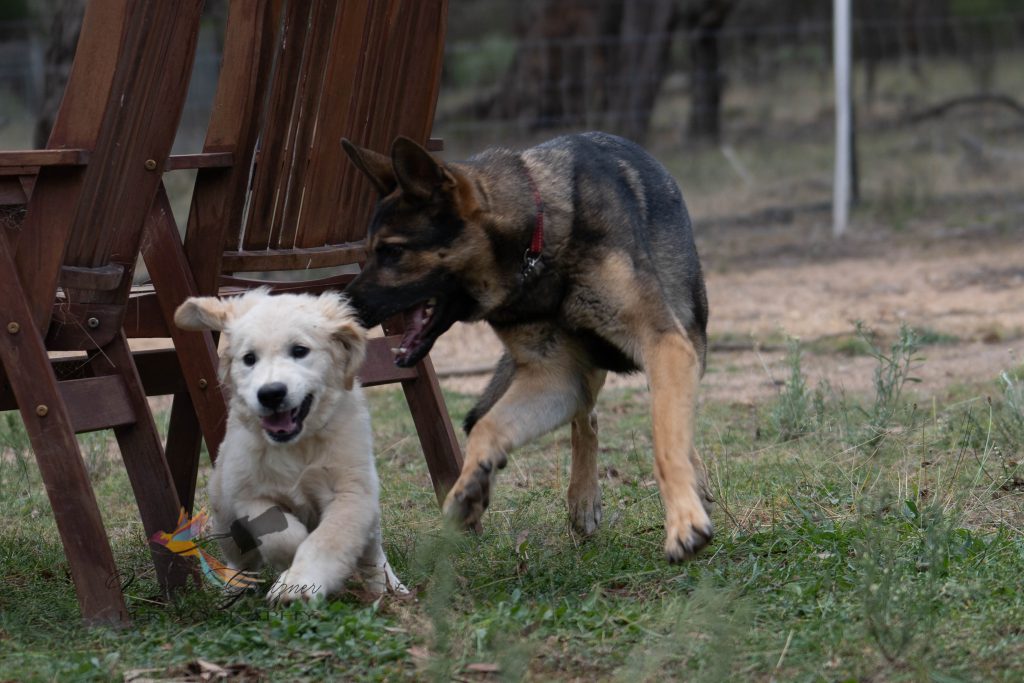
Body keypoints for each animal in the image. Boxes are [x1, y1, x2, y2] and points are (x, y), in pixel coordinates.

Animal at [176, 288, 403, 602]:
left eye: (299, 351)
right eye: (249, 358)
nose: (271, 394)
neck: (298, 447)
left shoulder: (352, 494)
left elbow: (327, 539)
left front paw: (300, 580)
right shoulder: (250, 496)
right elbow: (283, 537)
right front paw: (289, 572)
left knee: (372, 555)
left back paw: (389, 587)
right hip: (225, 513)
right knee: (239, 559)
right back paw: (234, 590)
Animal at [344, 132, 712, 561]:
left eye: (392, 251)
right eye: (370, 251)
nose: (343, 304)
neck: (537, 248)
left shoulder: (664, 344)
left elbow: (667, 441)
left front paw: (683, 521)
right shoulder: (554, 378)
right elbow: (487, 426)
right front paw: (470, 486)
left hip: (686, 335)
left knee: (669, 413)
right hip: (585, 374)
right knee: (587, 419)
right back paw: (583, 498)